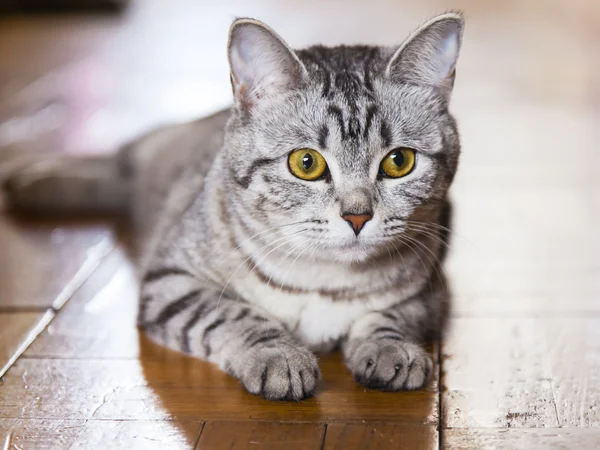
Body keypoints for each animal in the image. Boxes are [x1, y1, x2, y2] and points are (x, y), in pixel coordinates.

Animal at [2, 12, 464, 400]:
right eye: (307, 163)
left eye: (399, 161)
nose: (357, 216)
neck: (324, 281)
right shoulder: (172, 279)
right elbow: (232, 314)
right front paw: (279, 355)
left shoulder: (431, 290)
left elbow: (389, 315)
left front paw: (391, 349)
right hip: (148, 155)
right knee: (116, 162)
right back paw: (29, 179)